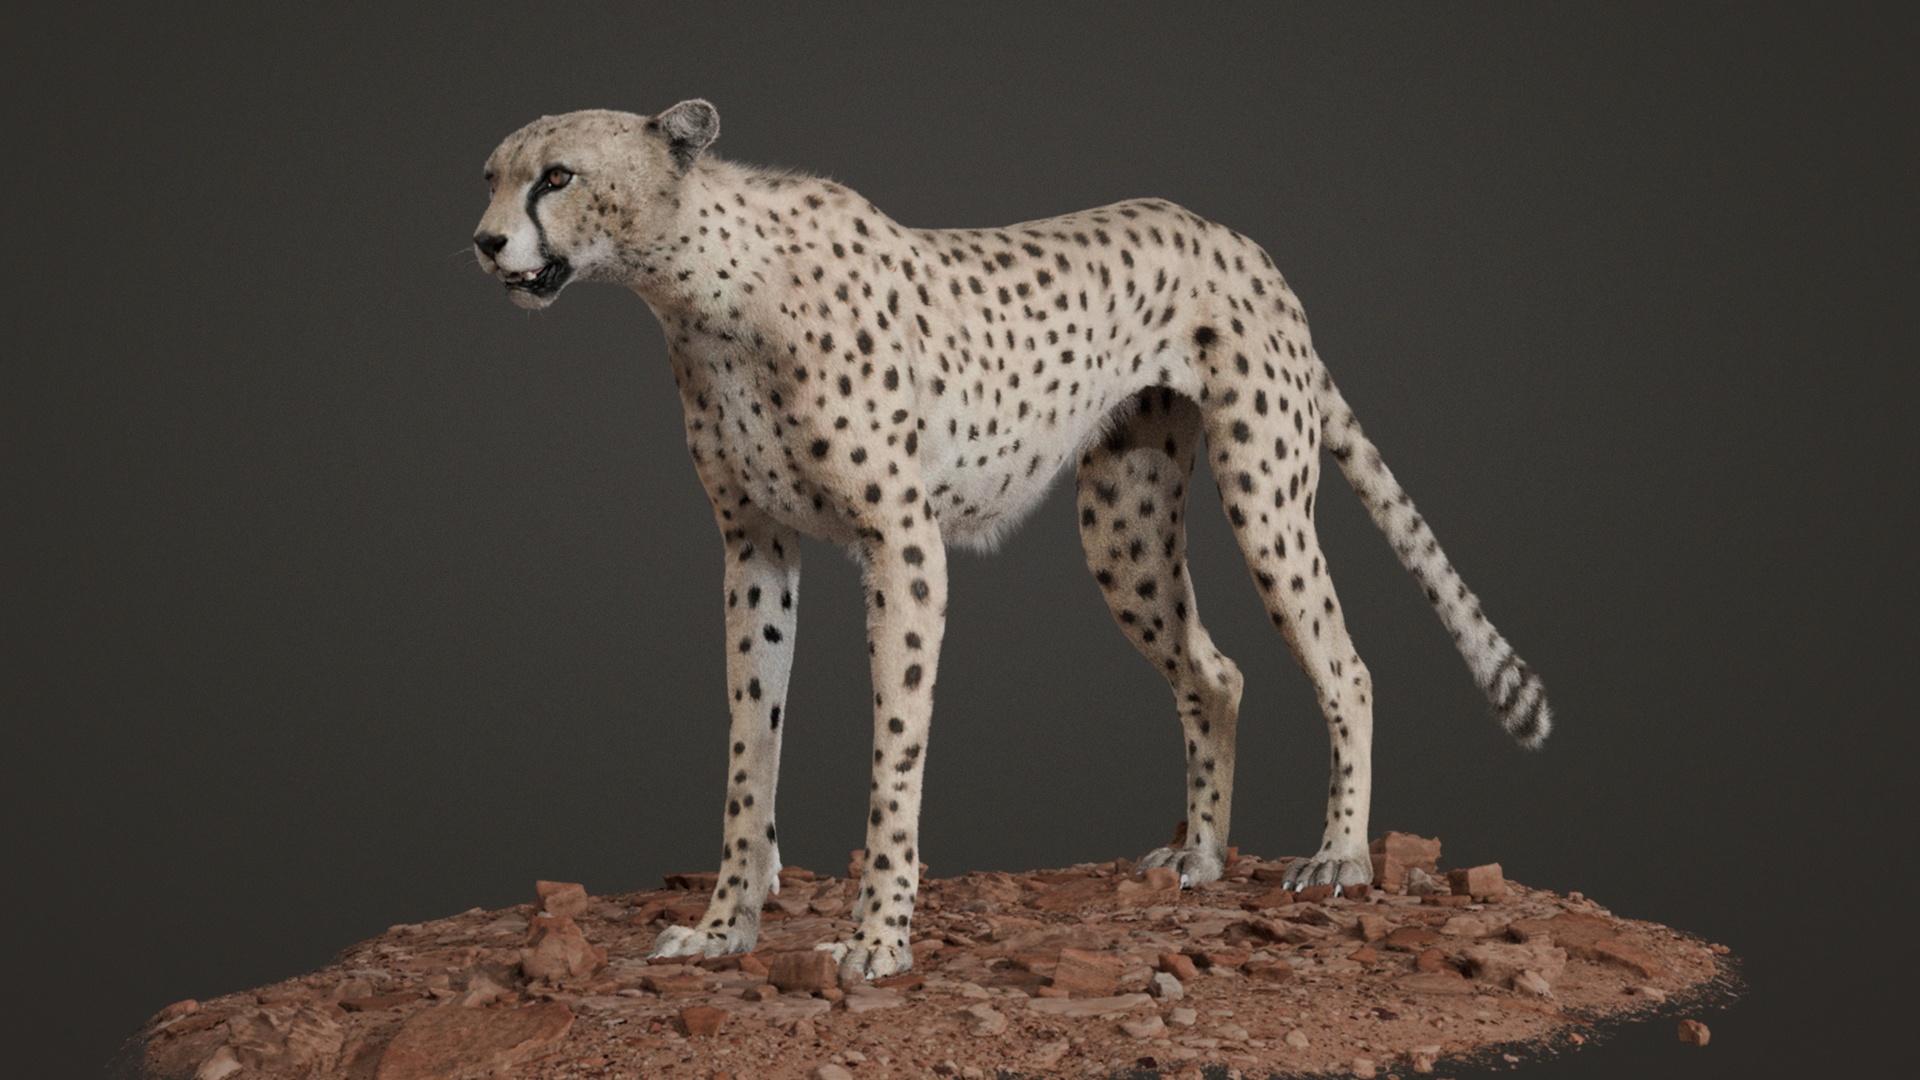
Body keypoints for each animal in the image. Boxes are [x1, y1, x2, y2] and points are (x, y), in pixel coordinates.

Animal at [471, 100, 1552, 981]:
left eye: (557, 176)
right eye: (489, 175)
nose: (483, 242)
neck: (704, 290)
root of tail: (1235, 237)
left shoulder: (902, 542)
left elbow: (894, 756)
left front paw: (878, 941)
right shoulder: (755, 550)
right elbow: (750, 747)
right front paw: (724, 929)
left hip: (1263, 491)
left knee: (1345, 667)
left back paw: (1340, 857)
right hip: (1124, 524)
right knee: (1215, 671)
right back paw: (1200, 857)